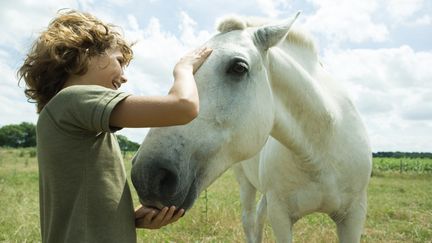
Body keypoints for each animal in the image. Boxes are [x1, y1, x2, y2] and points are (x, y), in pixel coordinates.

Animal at [131, 12, 372, 242]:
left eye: (239, 68)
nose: (147, 176)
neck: (321, 153)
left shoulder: (353, 217)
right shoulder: (280, 215)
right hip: (245, 182)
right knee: (250, 220)